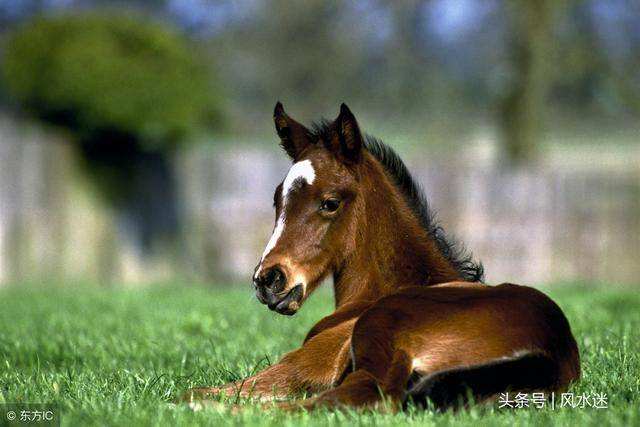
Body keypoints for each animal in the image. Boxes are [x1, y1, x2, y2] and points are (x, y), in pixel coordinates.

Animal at [184, 103, 580, 412]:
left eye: (330, 203)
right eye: (277, 198)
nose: (268, 280)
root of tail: (551, 349)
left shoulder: (309, 362)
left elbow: (199, 390)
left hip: (379, 332)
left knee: (360, 396)